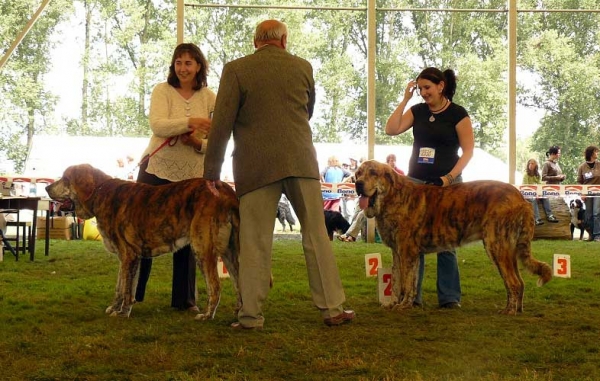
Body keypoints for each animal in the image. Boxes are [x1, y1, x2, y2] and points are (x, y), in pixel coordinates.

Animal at [45, 163, 240, 318]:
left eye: (65, 178)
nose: (47, 188)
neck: (100, 192)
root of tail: (224, 188)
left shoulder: (128, 255)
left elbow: (126, 288)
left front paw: (122, 313)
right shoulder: (127, 257)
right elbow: (121, 286)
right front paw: (115, 307)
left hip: (202, 249)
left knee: (215, 286)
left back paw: (208, 315)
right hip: (230, 252)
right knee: (239, 284)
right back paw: (239, 315)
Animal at [354, 159, 552, 314]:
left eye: (373, 173)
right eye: (358, 174)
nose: (358, 184)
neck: (392, 196)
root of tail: (520, 197)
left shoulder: (406, 251)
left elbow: (406, 282)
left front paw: (403, 305)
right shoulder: (399, 252)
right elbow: (398, 281)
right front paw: (396, 303)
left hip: (497, 246)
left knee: (514, 282)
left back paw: (509, 311)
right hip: (508, 249)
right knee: (519, 282)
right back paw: (517, 309)